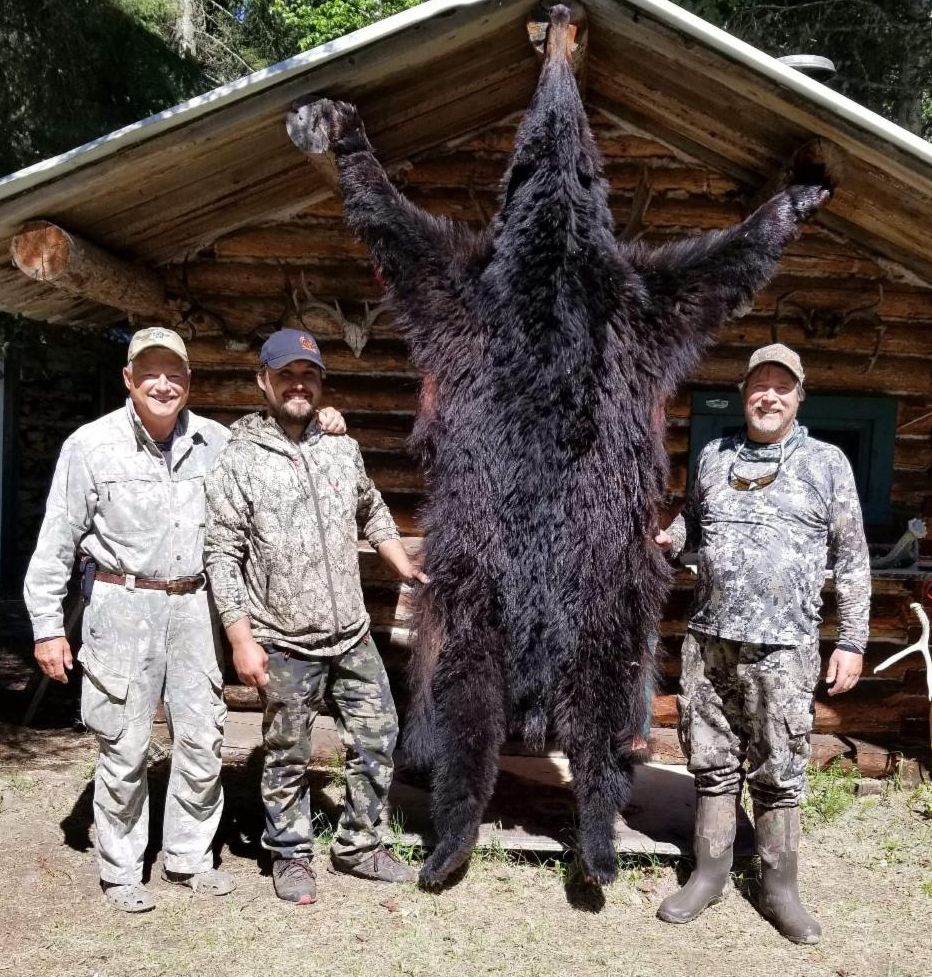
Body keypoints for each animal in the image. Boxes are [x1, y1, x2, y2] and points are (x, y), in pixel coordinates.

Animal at [285, 4, 831, 888]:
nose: (565, 18)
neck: (555, 258)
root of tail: (542, 642)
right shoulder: (561, 303)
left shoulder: (616, 306)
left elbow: (722, 264)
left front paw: (802, 189)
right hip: (522, 596)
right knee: (509, 717)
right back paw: (522, 846)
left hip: (570, 596)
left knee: (532, 719)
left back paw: (550, 847)